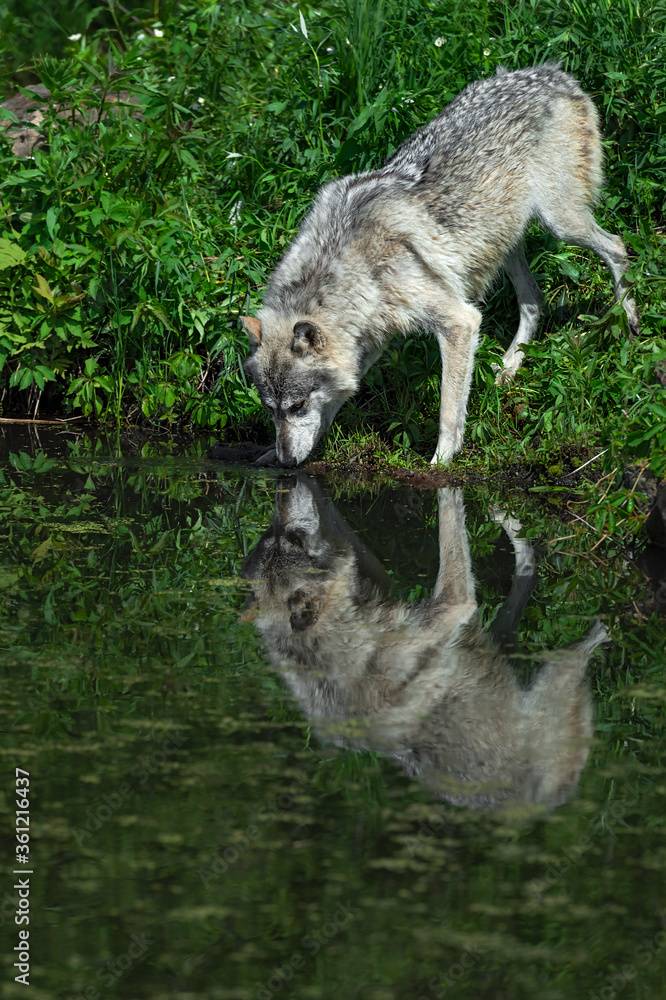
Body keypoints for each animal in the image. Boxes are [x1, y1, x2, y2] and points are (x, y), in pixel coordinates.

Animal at [241, 64, 639, 467]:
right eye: (271, 410)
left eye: (297, 405)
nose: (286, 461)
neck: (350, 265)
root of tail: (553, 74)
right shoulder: (369, 341)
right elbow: (337, 402)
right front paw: (274, 455)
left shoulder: (460, 322)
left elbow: (449, 407)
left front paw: (442, 461)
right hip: (505, 242)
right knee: (534, 300)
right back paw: (510, 367)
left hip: (560, 223)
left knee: (618, 246)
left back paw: (629, 319)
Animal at [242, 477, 610, 808]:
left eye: (286, 536)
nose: (286, 486)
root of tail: (538, 808)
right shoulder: (456, 604)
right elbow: (449, 514)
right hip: (554, 684)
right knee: (575, 653)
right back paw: (604, 625)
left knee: (524, 573)